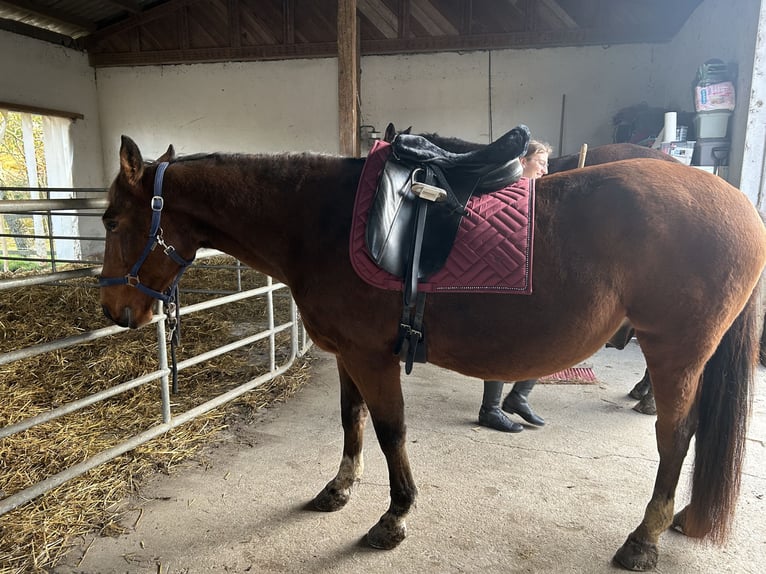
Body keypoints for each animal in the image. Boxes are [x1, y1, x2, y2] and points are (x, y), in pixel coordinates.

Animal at [100, 135, 766, 572]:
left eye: (108, 219)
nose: (114, 312)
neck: (318, 222)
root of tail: (739, 204)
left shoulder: (372, 357)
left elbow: (390, 429)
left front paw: (394, 517)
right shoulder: (348, 355)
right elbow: (351, 421)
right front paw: (339, 490)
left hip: (677, 352)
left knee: (676, 437)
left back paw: (644, 538)